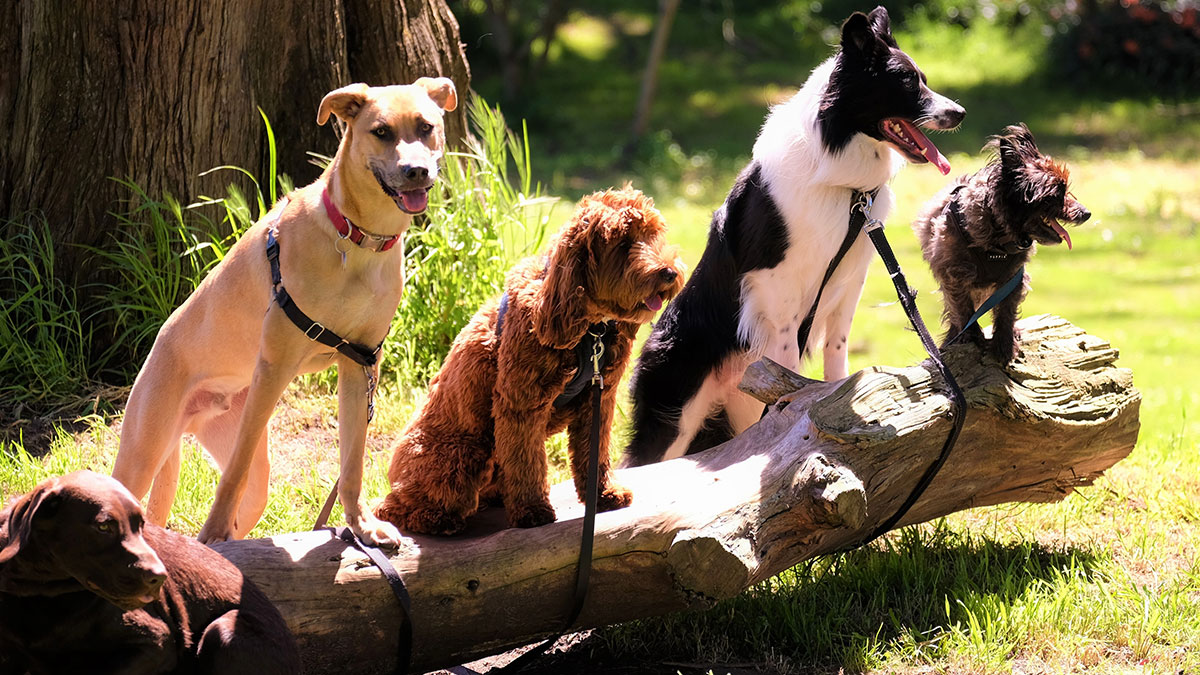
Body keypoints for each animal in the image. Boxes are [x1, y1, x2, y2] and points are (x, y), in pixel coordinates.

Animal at [110, 76, 456, 542]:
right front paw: (211, 534)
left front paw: (362, 525)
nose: (416, 171)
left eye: (425, 127)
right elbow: (232, 475)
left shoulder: (360, 363)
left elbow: (352, 462)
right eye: (381, 131)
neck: (357, 239)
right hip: (143, 452)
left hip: (251, 474)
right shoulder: (273, 369)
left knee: (246, 505)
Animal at [374, 186, 686, 533]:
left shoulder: (599, 400)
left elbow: (594, 453)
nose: (669, 272)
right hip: (461, 456)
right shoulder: (521, 403)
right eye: (622, 243)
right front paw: (532, 510)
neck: (589, 329)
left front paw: (604, 494)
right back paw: (437, 519)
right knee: (391, 508)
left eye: (653, 234)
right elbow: (526, 462)